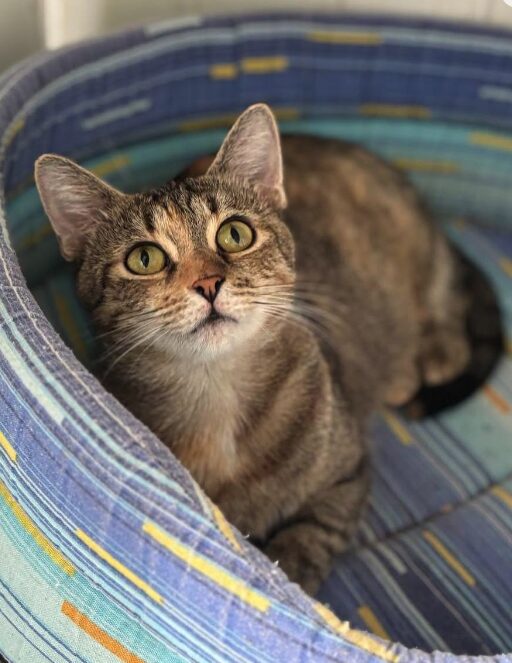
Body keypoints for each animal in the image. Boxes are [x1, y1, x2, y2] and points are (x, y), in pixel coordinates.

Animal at [34, 104, 470, 596]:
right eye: (144, 259)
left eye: (235, 234)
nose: (208, 283)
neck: (216, 397)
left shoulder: (347, 476)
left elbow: (312, 534)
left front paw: (291, 573)